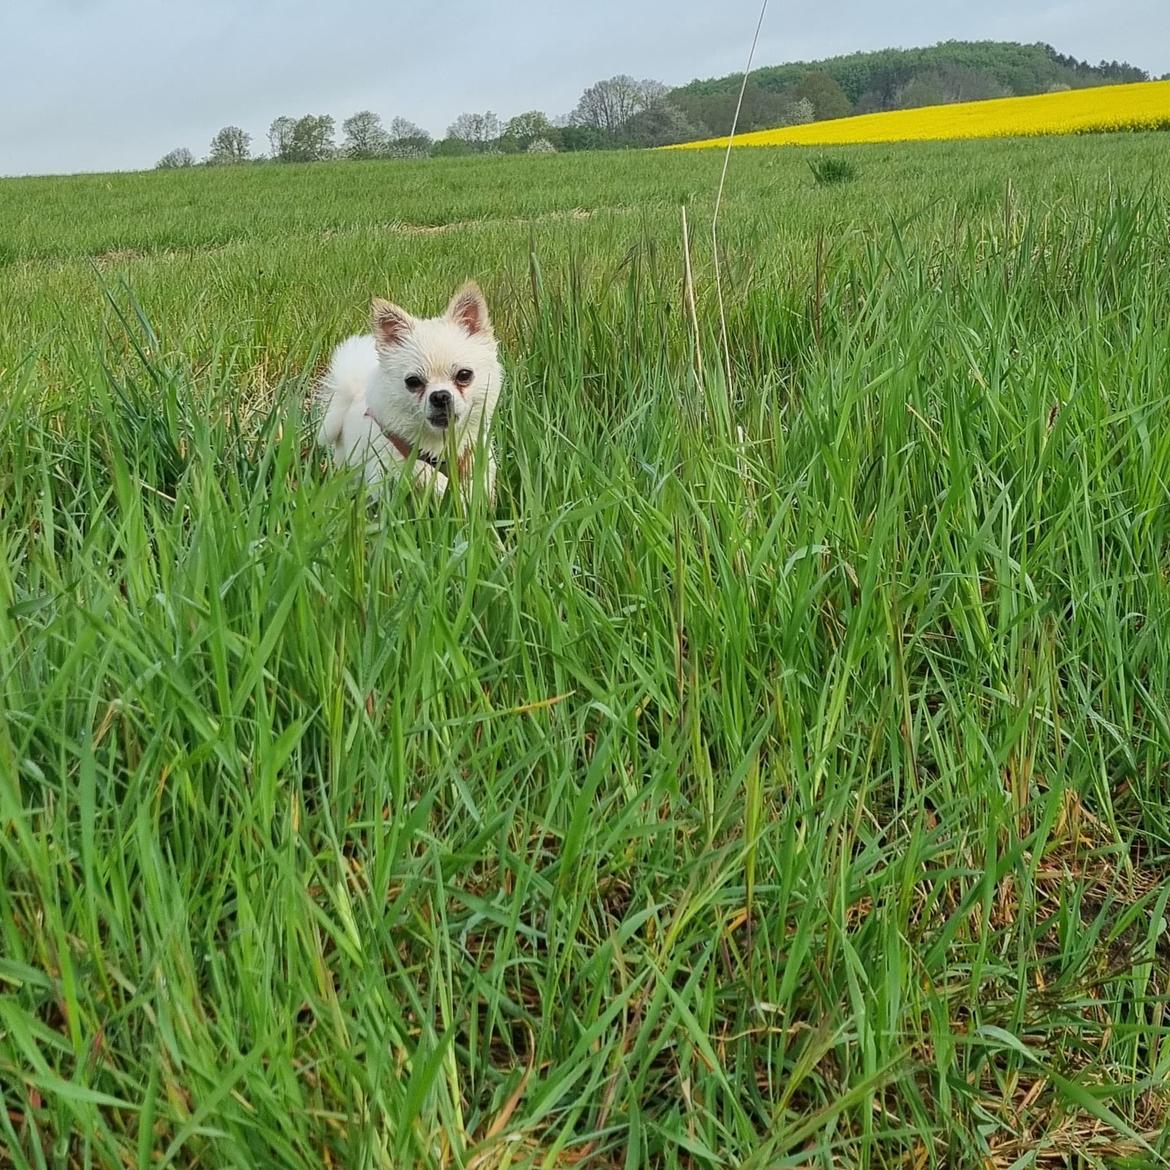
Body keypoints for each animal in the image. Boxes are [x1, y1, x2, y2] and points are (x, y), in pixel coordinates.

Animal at [318, 284, 500, 503]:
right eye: (413, 382)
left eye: (464, 375)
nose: (440, 396)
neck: (439, 444)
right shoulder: (389, 465)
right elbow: (424, 474)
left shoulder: (475, 455)